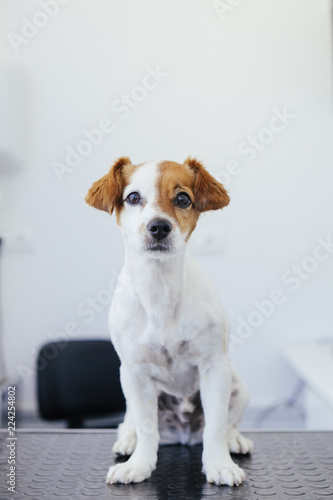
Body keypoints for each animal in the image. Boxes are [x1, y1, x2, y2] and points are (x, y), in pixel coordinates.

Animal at [85, 156, 252, 484]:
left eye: (182, 199)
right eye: (133, 197)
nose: (159, 226)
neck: (158, 287)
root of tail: (183, 435)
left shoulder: (215, 367)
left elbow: (216, 425)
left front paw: (219, 464)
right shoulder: (134, 372)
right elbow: (147, 428)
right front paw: (138, 465)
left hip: (238, 386)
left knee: (228, 423)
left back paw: (234, 440)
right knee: (130, 423)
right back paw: (127, 440)